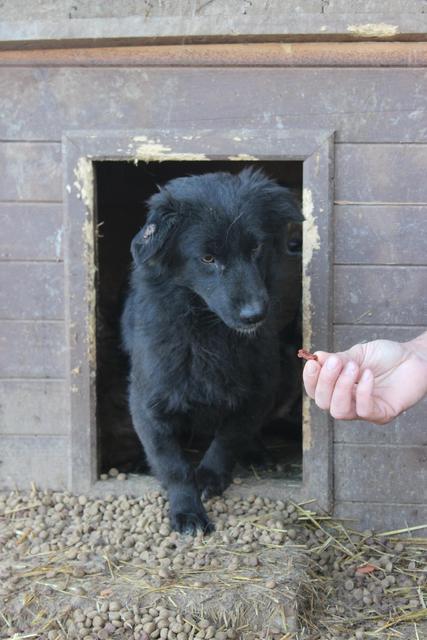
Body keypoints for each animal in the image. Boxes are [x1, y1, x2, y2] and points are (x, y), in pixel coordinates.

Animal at [121, 168, 300, 532]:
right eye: (207, 258)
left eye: (256, 247)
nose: (255, 315)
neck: (207, 333)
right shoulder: (148, 403)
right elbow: (172, 463)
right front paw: (187, 511)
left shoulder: (258, 392)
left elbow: (229, 437)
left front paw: (209, 477)